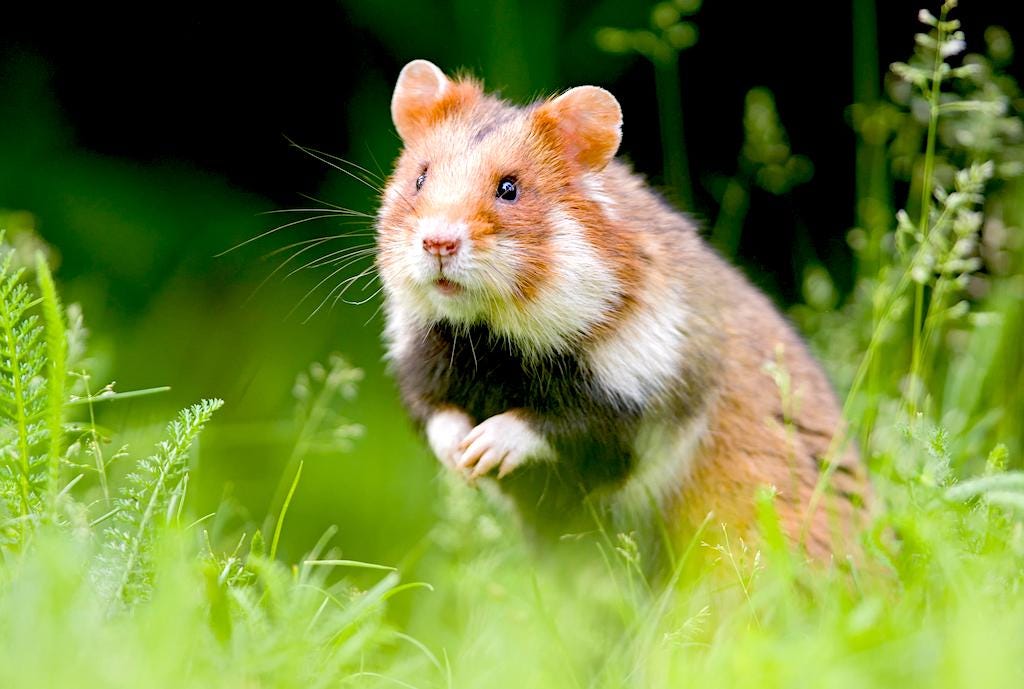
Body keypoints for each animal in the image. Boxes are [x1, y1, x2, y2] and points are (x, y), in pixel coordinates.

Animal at [374, 59, 868, 558]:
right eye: (420, 178)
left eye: (509, 189)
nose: (438, 242)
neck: (491, 339)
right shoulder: (418, 366)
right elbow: (436, 416)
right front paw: (461, 457)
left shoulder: (638, 398)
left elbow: (555, 427)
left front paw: (484, 449)